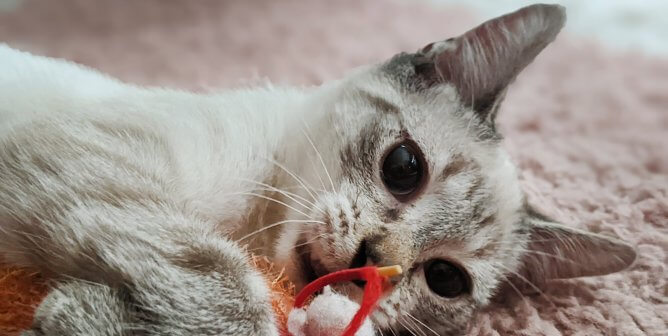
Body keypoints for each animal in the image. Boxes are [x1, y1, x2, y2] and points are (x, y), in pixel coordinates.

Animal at [0, 3, 636, 336]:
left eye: (445, 279)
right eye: (404, 167)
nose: (373, 260)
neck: (251, 227)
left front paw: (76, 314)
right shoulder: (101, 164)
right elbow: (231, 292)